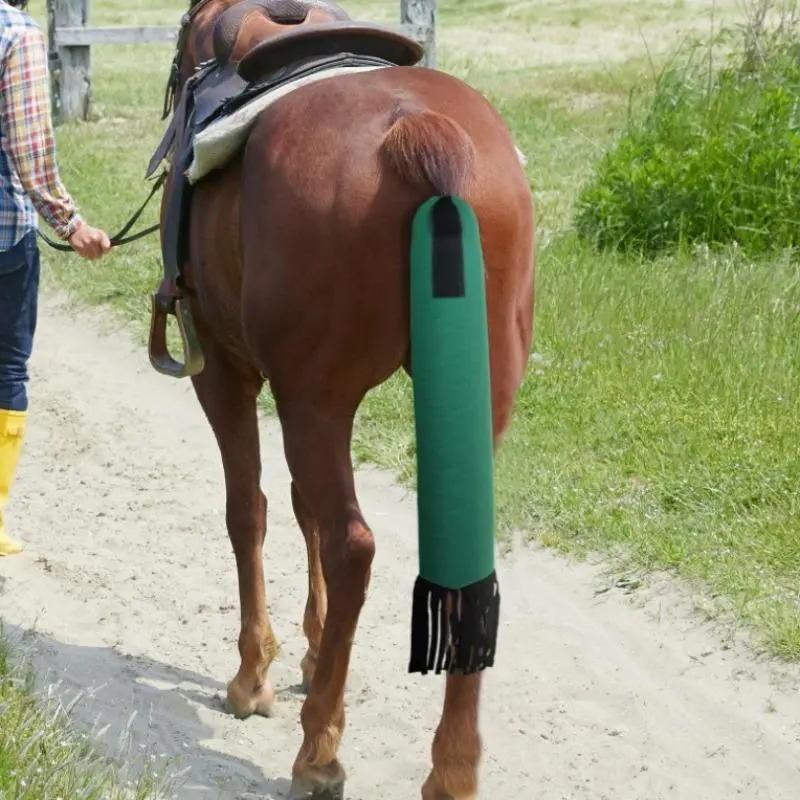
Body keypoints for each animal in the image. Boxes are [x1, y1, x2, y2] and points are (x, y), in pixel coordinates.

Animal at [154, 1, 535, 797]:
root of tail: (423, 133)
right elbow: (300, 510)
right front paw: (309, 649)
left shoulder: (228, 373)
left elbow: (250, 510)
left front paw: (255, 674)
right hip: (467, 399)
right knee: (458, 562)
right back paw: (452, 768)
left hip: (310, 402)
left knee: (351, 545)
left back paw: (318, 749)